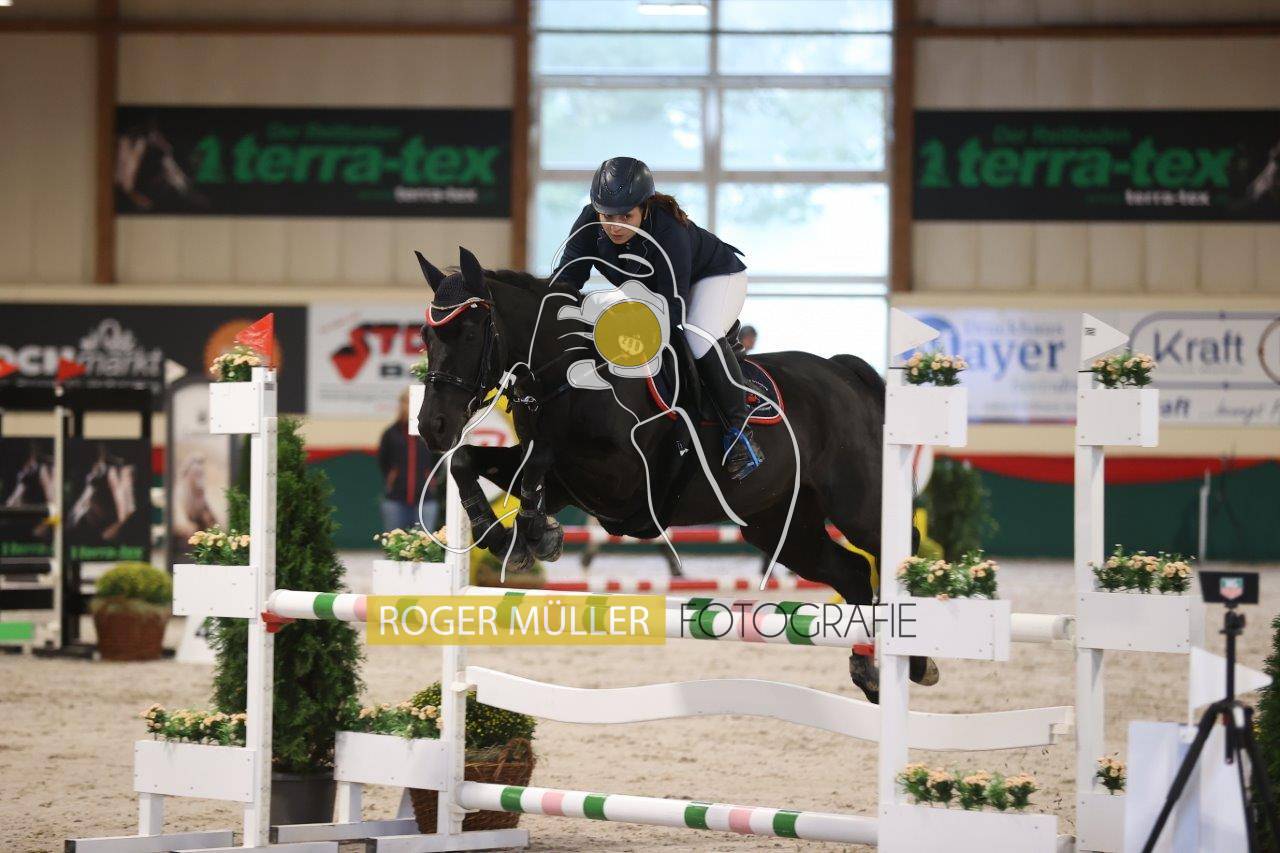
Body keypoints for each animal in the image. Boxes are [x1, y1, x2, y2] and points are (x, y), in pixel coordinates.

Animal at [414, 247, 933, 703]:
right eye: (426, 335)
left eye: (472, 333)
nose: (432, 426)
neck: (568, 376)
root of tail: (845, 374)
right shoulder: (570, 485)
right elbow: (469, 462)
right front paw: (506, 535)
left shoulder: (623, 484)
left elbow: (541, 459)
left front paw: (536, 533)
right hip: (781, 525)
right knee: (850, 571)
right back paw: (869, 672)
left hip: (856, 502)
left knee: (895, 544)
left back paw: (917, 660)